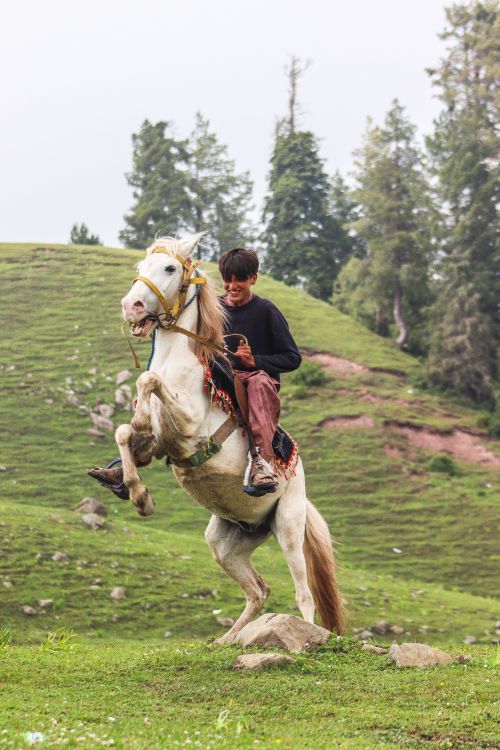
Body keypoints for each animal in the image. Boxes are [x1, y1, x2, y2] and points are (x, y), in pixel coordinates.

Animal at [114, 233, 344, 642]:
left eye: (170, 267)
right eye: (140, 267)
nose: (132, 306)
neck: (179, 365)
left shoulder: (190, 428)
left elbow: (147, 380)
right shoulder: (160, 444)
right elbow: (125, 432)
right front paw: (137, 493)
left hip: (289, 527)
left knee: (303, 594)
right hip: (227, 542)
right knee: (259, 590)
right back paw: (227, 639)